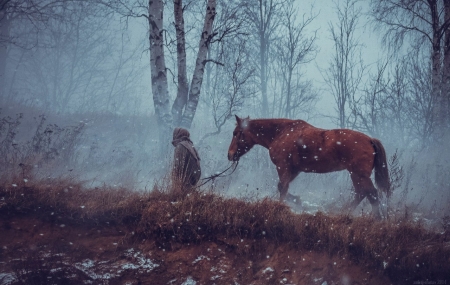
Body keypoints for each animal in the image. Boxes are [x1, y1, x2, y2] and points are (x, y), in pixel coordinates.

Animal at [227, 115, 388, 217]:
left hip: (359, 174)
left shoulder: (283, 167)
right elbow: (283, 187)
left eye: (236, 133)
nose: (230, 155)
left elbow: (282, 188)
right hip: (355, 174)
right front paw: (298, 202)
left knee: (371, 193)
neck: (281, 132)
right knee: (362, 193)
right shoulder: (294, 170)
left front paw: (280, 207)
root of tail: (370, 140)